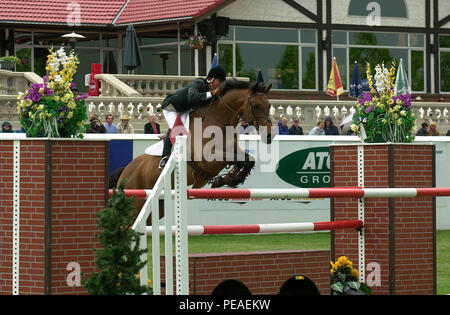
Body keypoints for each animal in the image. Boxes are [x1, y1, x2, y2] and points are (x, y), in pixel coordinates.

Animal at [116, 79, 272, 222]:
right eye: (256, 106)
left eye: (269, 105)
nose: (269, 136)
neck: (219, 123)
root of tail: (125, 170)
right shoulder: (207, 160)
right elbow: (238, 160)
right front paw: (227, 179)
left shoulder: (232, 150)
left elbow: (248, 160)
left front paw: (228, 179)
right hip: (135, 204)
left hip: (157, 206)